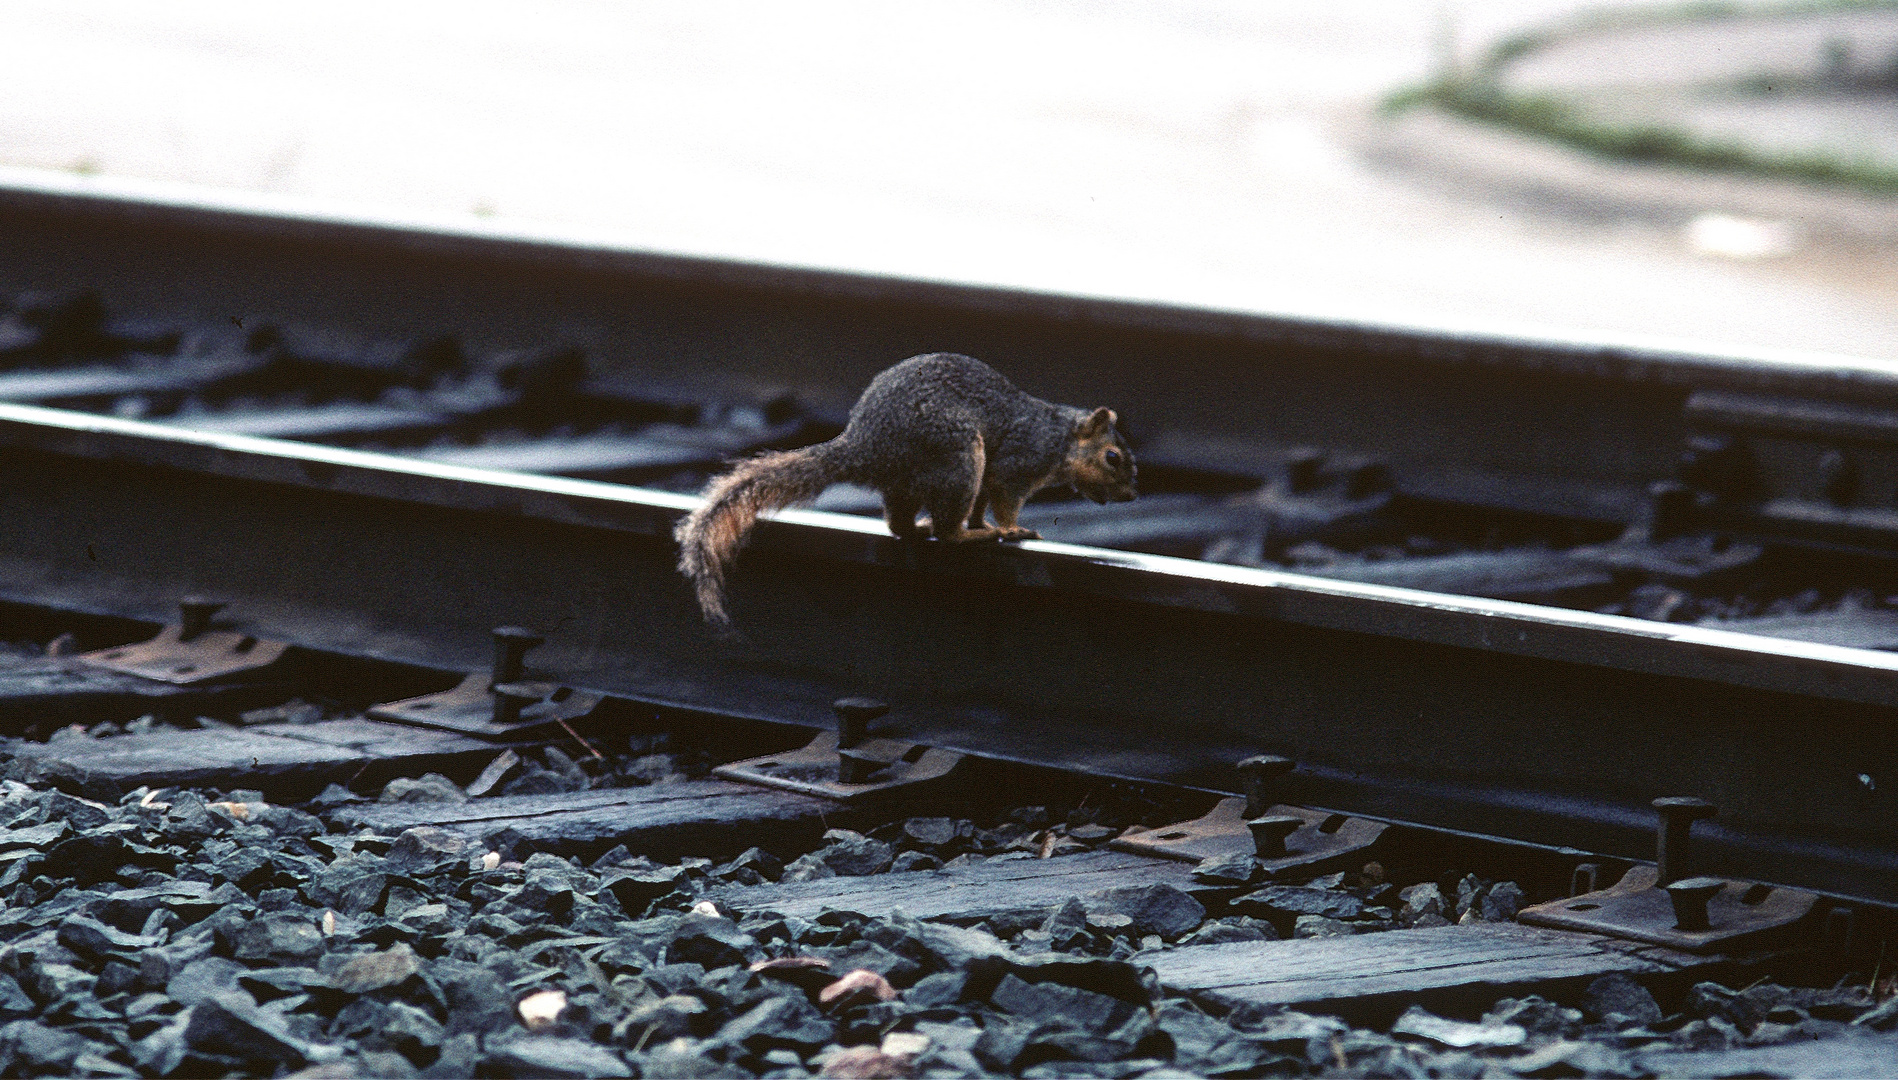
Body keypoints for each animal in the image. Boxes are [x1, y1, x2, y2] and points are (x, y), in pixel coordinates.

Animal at [675, 349, 1131, 626]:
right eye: (1113, 457)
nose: (1130, 497)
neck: (1060, 439)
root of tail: (865, 447)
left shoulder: (991, 479)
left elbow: (982, 504)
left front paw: (986, 523)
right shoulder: (1016, 464)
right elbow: (1004, 502)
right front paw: (1010, 529)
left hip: (919, 480)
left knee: (899, 523)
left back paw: (922, 528)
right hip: (958, 458)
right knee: (947, 529)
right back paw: (965, 534)